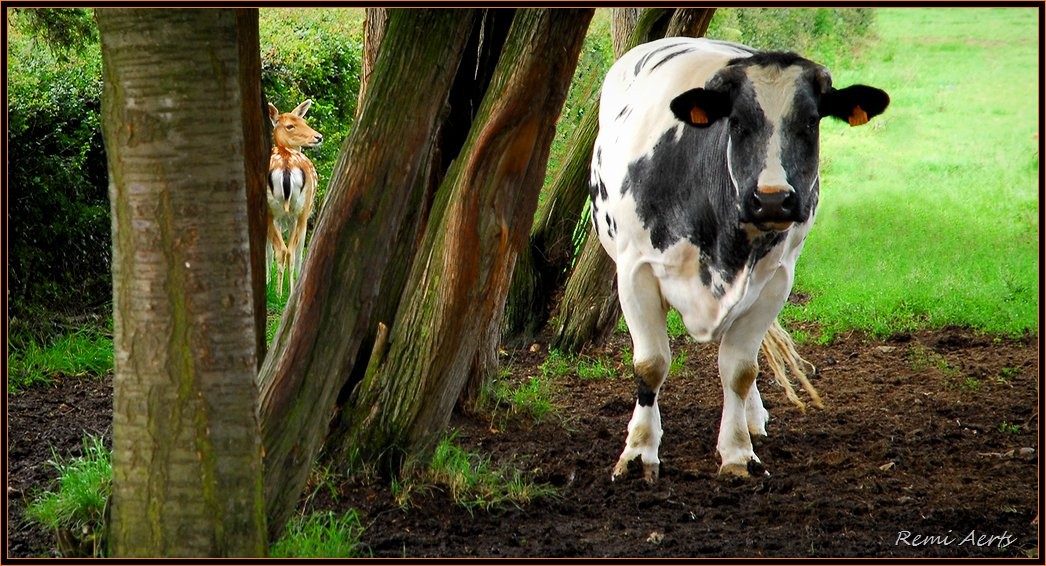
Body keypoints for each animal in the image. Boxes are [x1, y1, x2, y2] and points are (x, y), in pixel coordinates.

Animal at [267, 99, 320, 297]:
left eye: (303, 121)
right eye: (290, 125)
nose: (318, 137)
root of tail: (286, 166)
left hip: (275, 211)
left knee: (283, 250)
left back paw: (279, 293)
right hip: (301, 210)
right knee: (290, 251)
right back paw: (286, 293)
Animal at [589, 37, 891, 481]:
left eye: (811, 122)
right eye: (736, 122)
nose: (772, 199)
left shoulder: (775, 283)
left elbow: (740, 370)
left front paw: (737, 452)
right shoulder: (633, 271)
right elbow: (651, 364)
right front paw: (639, 451)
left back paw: (751, 417)